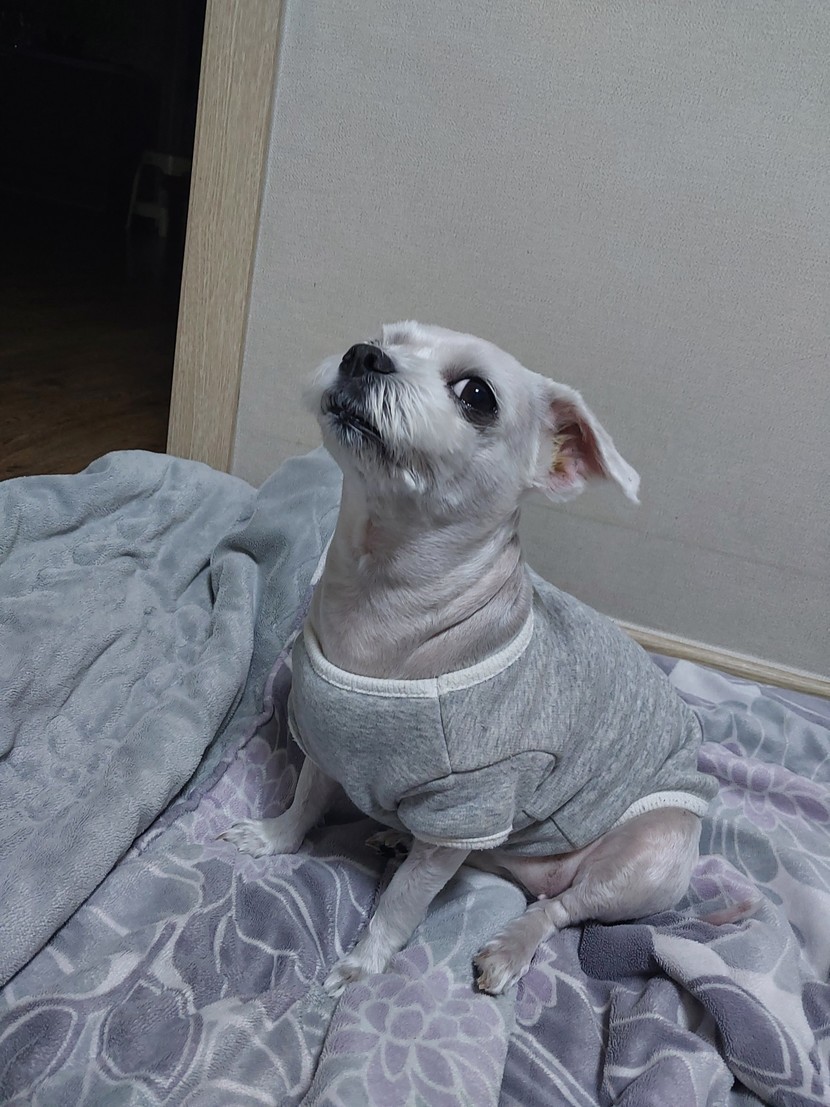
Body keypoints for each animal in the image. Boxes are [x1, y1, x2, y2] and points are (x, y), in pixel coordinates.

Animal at [221, 321, 717, 997]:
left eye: (477, 395)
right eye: (385, 336)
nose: (364, 355)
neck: (378, 602)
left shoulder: (466, 802)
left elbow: (401, 905)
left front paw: (362, 964)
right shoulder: (325, 737)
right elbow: (305, 800)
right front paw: (272, 836)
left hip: (648, 857)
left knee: (562, 907)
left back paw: (510, 945)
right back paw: (396, 838)